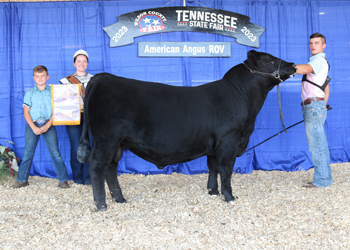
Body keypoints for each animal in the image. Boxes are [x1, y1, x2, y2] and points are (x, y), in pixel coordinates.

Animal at [76, 49, 296, 210]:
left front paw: (212, 192)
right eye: (269, 60)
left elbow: (212, 167)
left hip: (117, 143)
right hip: (106, 138)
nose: (293, 65)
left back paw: (119, 199)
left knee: (111, 167)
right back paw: (101, 204)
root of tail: (104, 77)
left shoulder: (214, 144)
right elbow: (226, 170)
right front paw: (229, 196)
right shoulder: (229, 141)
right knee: (97, 164)